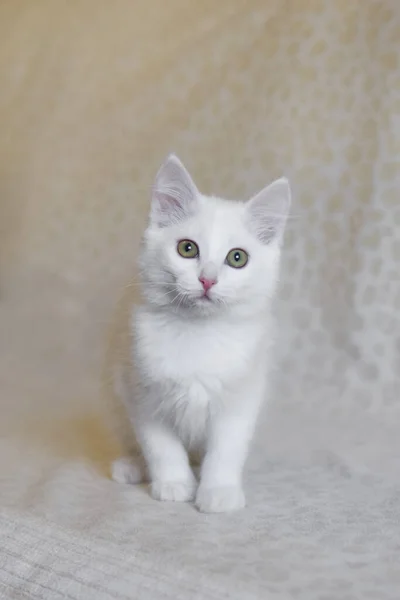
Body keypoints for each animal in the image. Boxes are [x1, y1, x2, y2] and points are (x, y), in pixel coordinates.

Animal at [111, 154, 290, 510]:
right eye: (187, 249)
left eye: (237, 258)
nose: (208, 280)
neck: (198, 331)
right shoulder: (142, 392)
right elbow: (160, 446)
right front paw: (174, 483)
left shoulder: (240, 398)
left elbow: (226, 450)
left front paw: (219, 491)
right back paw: (131, 466)